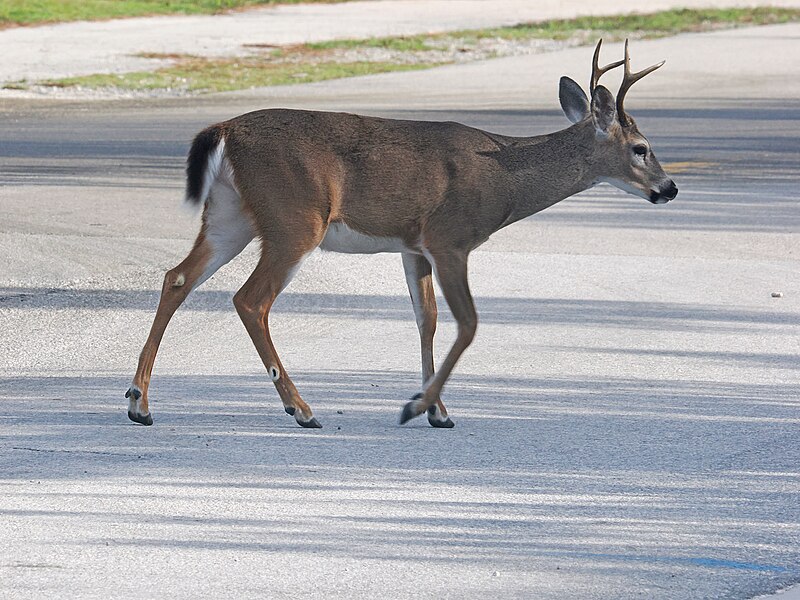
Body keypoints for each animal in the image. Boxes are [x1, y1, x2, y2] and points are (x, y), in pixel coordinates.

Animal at [125, 39, 676, 428]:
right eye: (641, 148)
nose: (669, 188)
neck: (503, 180)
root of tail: (224, 130)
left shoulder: (414, 246)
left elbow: (426, 319)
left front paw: (438, 411)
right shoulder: (450, 237)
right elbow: (468, 323)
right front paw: (418, 407)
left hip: (230, 215)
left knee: (177, 277)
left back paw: (139, 402)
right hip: (295, 217)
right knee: (249, 299)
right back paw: (301, 409)